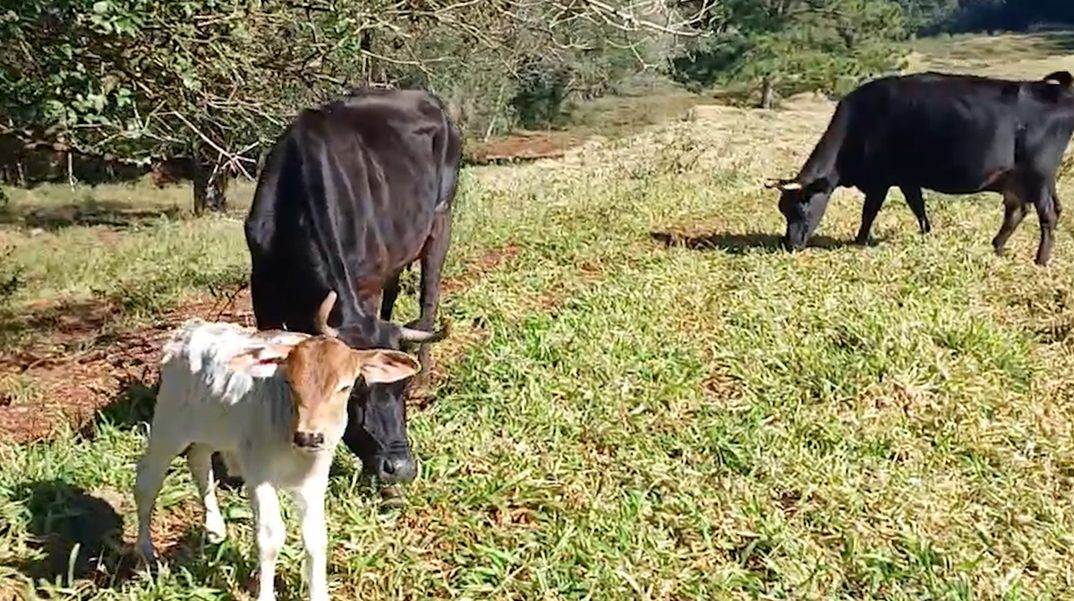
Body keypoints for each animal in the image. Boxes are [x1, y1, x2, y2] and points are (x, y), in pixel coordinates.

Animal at [243, 87, 462, 488]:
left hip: (441, 219)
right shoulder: (261, 289)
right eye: (353, 391)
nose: (399, 468)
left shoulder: (365, 282)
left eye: (401, 388)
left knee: (429, 300)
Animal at [767, 70, 1074, 266]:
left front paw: (859, 240)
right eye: (783, 209)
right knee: (1020, 211)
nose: (790, 244)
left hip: (1038, 174)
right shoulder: (907, 179)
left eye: (802, 206)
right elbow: (918, 207)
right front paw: (927, 233)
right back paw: (997, 246)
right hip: (1026, 180)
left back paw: (1040, 260)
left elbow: (870, 212)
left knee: (1047, 214)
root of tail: (1056, 90)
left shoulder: (882, 180)